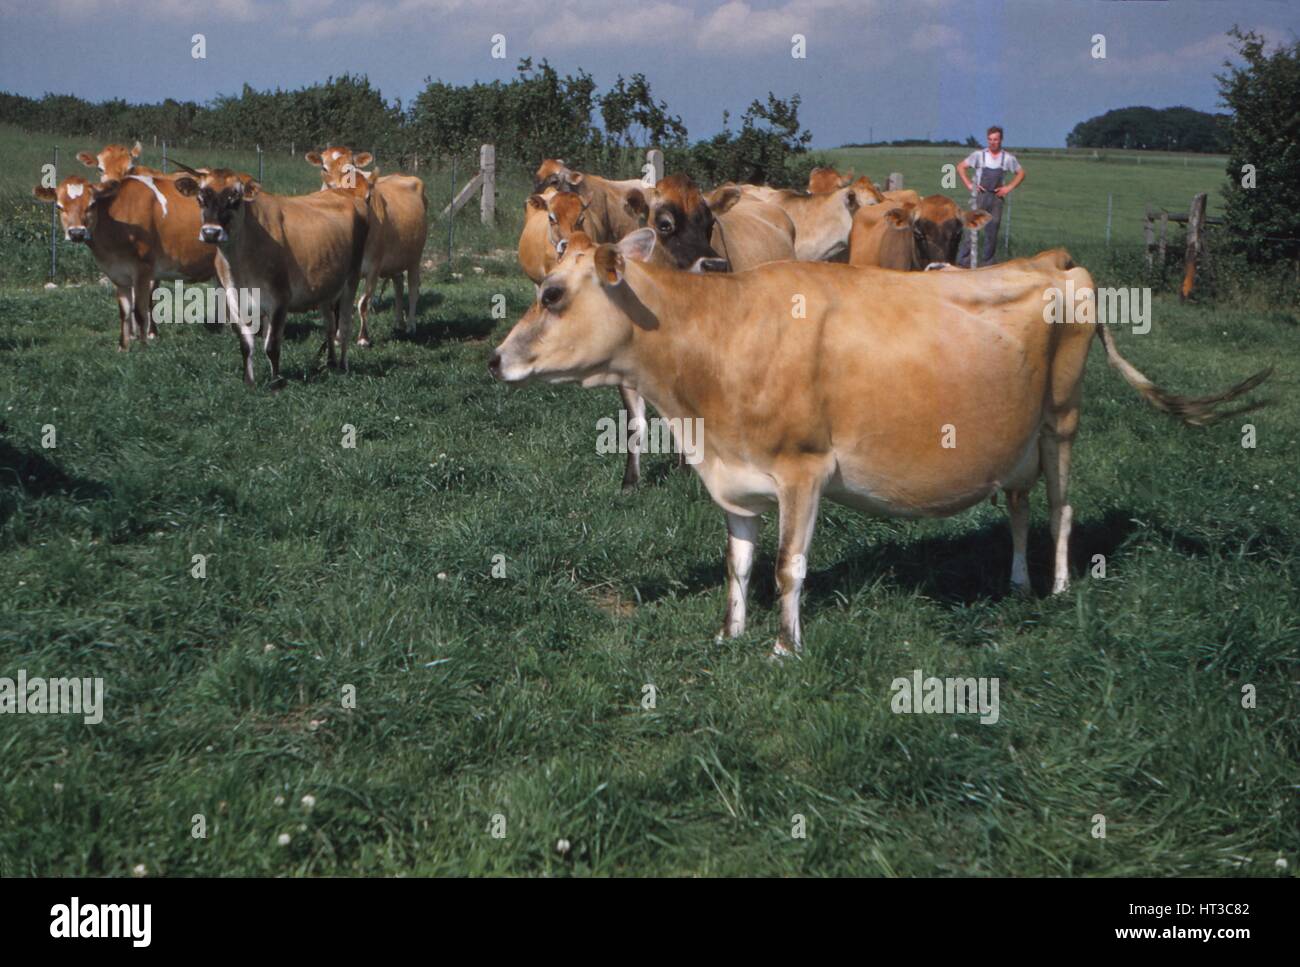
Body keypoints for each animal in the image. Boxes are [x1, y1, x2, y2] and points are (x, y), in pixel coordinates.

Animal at [31, 175, 219, 348]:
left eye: (92, 205)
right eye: (59, 206)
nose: (77, 233)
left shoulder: (143, 269)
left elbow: (140, 311)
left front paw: (144, 346)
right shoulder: (118, 273)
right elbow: (125, 311)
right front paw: (124, 346)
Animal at [172, 167, 371, 387]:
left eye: (235, 199)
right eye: (200, 199)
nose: (211, 233)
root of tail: (346, 195)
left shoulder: (280, 299)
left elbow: (272, 345)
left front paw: (276, 381)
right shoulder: (234, 300)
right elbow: (246, 344)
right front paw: (249, 381)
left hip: (351, 280)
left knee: (344, 326)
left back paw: (343, 366)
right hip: (325, 287)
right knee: (329, 325)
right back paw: (330, 362)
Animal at [304, 147, 426, 343]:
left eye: (351, 167)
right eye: (324, 167)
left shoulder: (374, 267)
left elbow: (363, 302)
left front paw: (363, 338)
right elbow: (339, 304)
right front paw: (338, 336)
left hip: (415, 257)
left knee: (414, 288)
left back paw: (410, 326)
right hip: (396, 260)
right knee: (399, 284)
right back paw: (398, 322)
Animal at [488, 230, 1268, 660]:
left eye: (553, 295)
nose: (495, 359)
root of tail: (1057, 261)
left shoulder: (802, 468)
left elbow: (787, 567)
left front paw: (784, 647)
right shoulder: (732, 477)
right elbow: (739, 564)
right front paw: (729, 634)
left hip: (1062, 421)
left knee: (1063, 509)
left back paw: (1058, 589)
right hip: (1015, 439)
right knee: (1019, 508)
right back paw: (1018, 583)